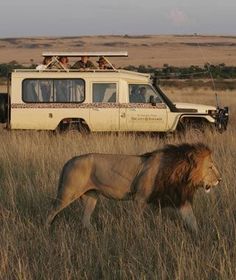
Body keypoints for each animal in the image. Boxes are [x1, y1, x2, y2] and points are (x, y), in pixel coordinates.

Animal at [46, 143, 221, 233]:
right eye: (210, 167)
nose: (220, 179)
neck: (179, 173)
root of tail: (69, 160)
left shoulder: (178, 199)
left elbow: (192, 220)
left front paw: (201, 238)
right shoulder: (140, 199)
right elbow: (137, 221)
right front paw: (139, 235)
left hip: (91, 197)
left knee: (85, 220)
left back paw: (95, 235)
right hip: (68, 193)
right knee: (51, 211)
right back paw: (46, 230)